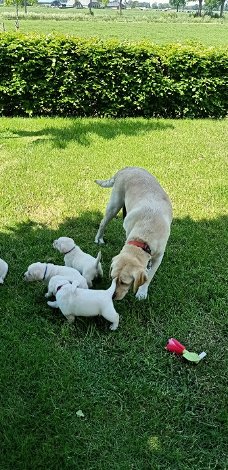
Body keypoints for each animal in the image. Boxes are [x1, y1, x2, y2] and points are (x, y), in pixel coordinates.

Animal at [93, 168, 172, 302]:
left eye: (124, 282)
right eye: (112, 278)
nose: (112, 297)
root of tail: (126, 168)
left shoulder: (159, 257)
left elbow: (150, 276)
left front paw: (142, 292)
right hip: (115, 204)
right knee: (103, 222)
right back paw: (99, 238)